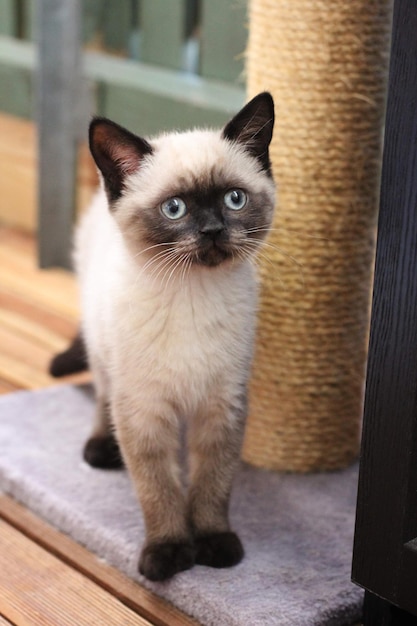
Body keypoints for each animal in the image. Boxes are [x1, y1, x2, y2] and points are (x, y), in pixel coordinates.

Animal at [71, 92, 274, 580]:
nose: (213, 231)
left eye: (234, 199)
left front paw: (214, 544)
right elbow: (158, 489)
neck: (191, 296)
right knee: (103, 392)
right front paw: (167, 553)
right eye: (175, 208)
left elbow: (212, 484)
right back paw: (100, 448)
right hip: (102, 349)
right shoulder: (143, 412)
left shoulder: (222, 406)